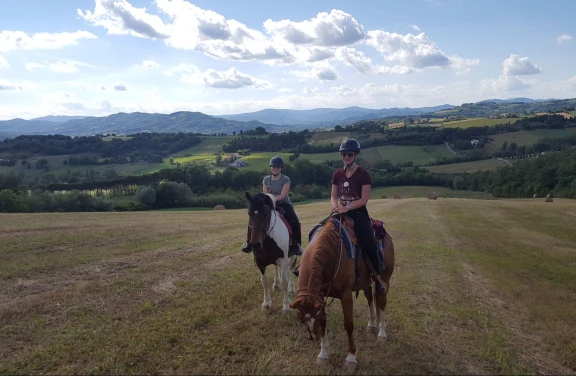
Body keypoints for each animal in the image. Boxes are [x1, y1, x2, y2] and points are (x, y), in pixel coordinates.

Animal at [288, 214, 396, 368]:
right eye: (301, 318)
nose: (313, 337)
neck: (332, 250)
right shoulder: (320, 296)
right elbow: (325, 322)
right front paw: (323, 355)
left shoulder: (346, 294)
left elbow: (348, 325)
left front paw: (351, 358)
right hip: (365, 282)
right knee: (370, 297)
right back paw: (371, 325)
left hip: (385, 279)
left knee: (381, 302)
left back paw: (382, 333)